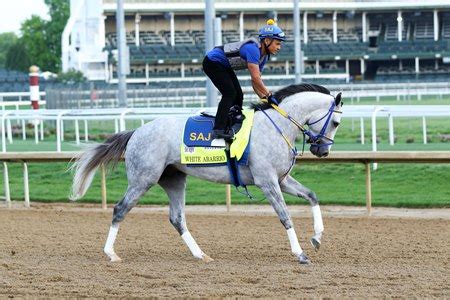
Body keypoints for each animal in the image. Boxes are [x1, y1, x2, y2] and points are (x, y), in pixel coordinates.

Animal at [71, 84, 342, 264]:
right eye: (336, 123)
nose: (323, 150)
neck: (277, 126)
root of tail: (136, 132)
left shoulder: (282, 180)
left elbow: (312, 195)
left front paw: (317, 237)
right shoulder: (267, 182)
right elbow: (285, 216)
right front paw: (300, 253)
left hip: (173, 179)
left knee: (177, 218)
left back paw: (200, 254)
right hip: (143, 178)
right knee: (120, 209)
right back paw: (111, 253)